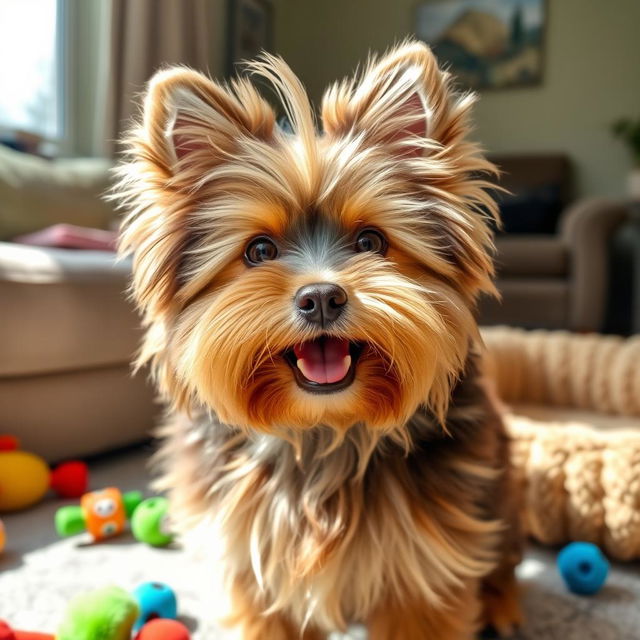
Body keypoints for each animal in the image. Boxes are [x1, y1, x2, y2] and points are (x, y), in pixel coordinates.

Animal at [116, 41, 520, 640]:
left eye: (370, 241)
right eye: (259, 251)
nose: (322, 297)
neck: (323, 432)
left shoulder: (425, 567)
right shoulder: (250, 565)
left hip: (501, 491)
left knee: (506, 557)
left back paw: (504, 605)